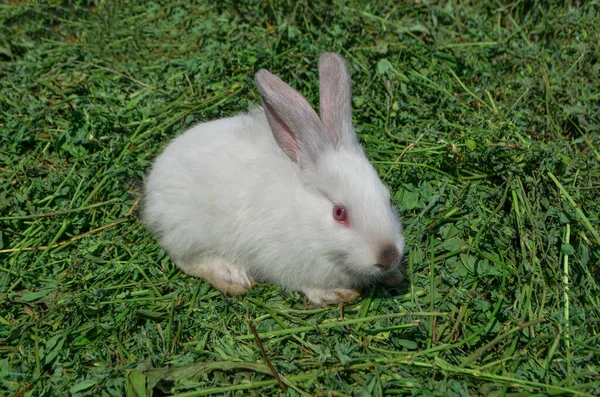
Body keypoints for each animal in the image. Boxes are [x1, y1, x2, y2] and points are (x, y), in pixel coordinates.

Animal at [143, 52, 406, 304]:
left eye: (388, 199)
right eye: (339, 213)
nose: (389, 256)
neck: (305, 222)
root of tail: (155, 179)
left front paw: (394, 275)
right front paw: (334, 294)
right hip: (189, 232)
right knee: (188, 261)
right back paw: (231, 276)